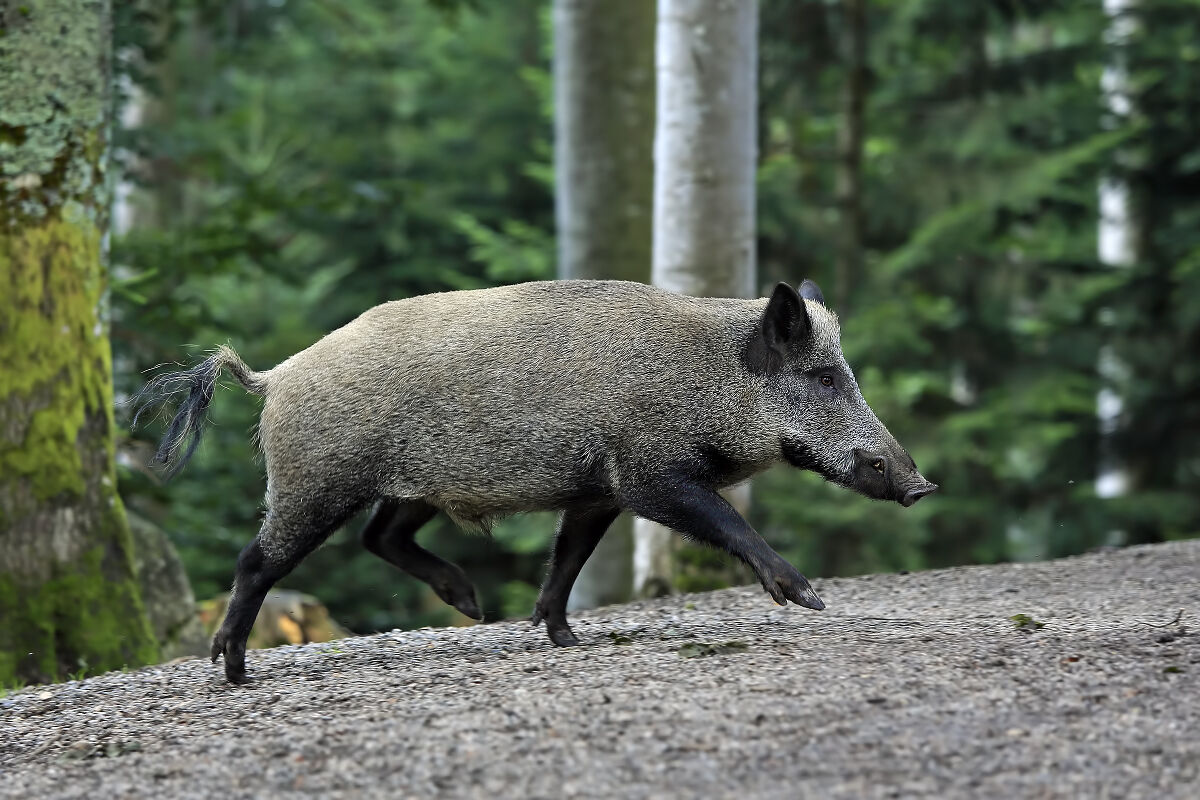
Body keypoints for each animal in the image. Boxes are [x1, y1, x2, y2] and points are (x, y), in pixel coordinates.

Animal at [133, 279, 937, 683]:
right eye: (824, 376)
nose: (919, 485)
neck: (702, 377)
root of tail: (273, 378)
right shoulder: (648, 474)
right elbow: (728, 522)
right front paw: (810, 599)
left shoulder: (598, 490)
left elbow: (568, 559)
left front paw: (564, 639)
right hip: (315, 482)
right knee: (258, 559)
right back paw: (234, 671)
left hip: (412, 487)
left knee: (379, 536)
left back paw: (471, 604)